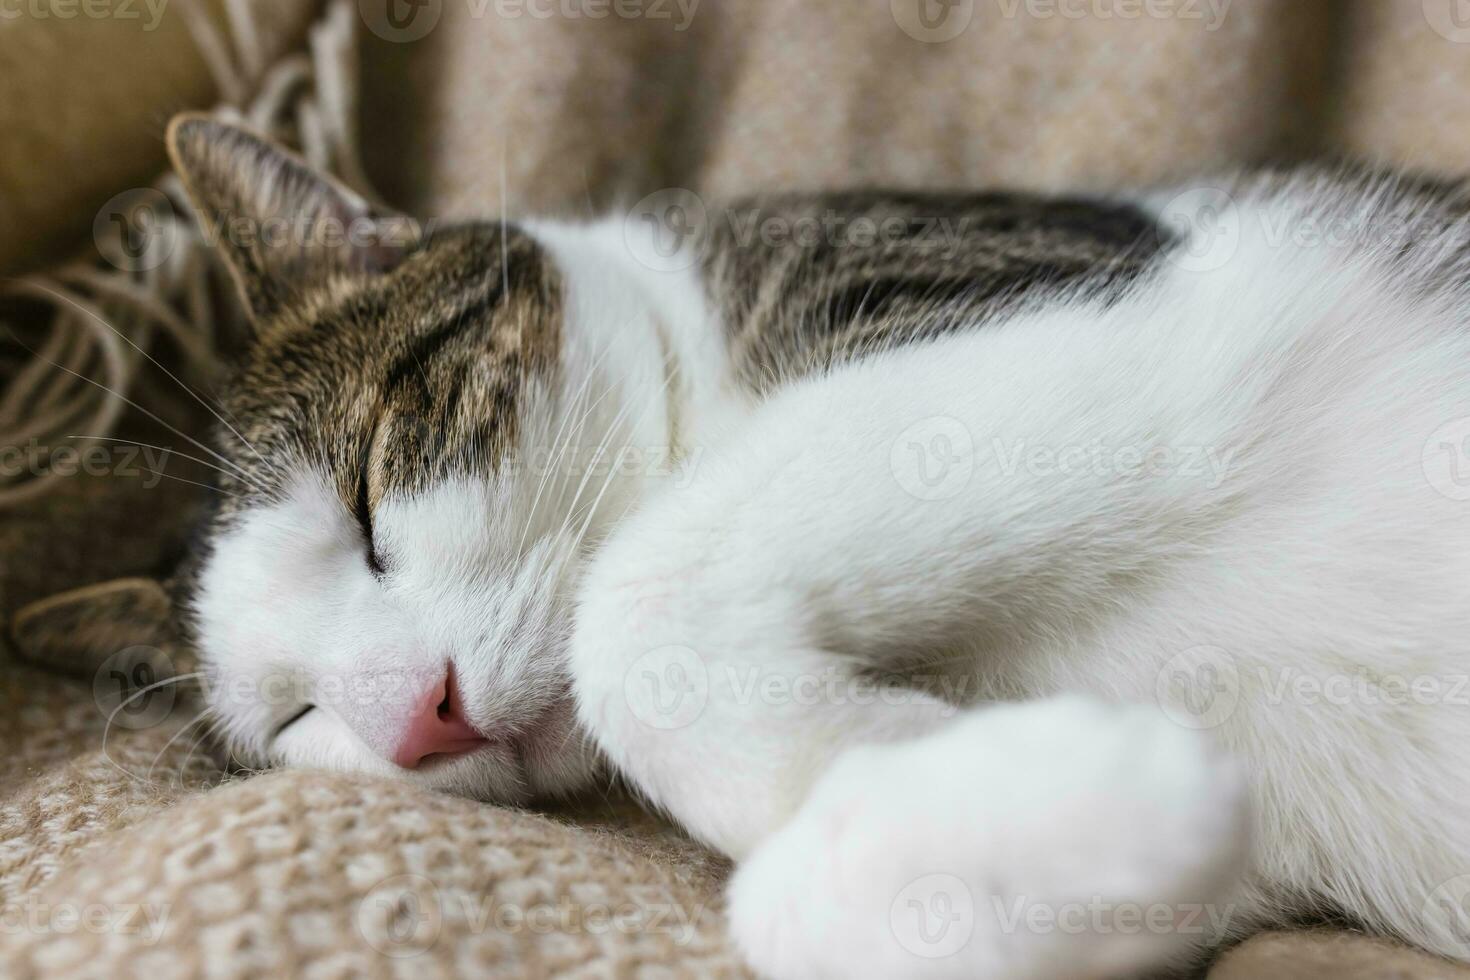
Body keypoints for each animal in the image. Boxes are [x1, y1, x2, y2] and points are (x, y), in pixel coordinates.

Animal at [166, 116, 1470, 980]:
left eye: (368, 497)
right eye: (294, 721)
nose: (417, 717)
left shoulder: (1100, 319)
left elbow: (635, 603)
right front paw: (965, 781)